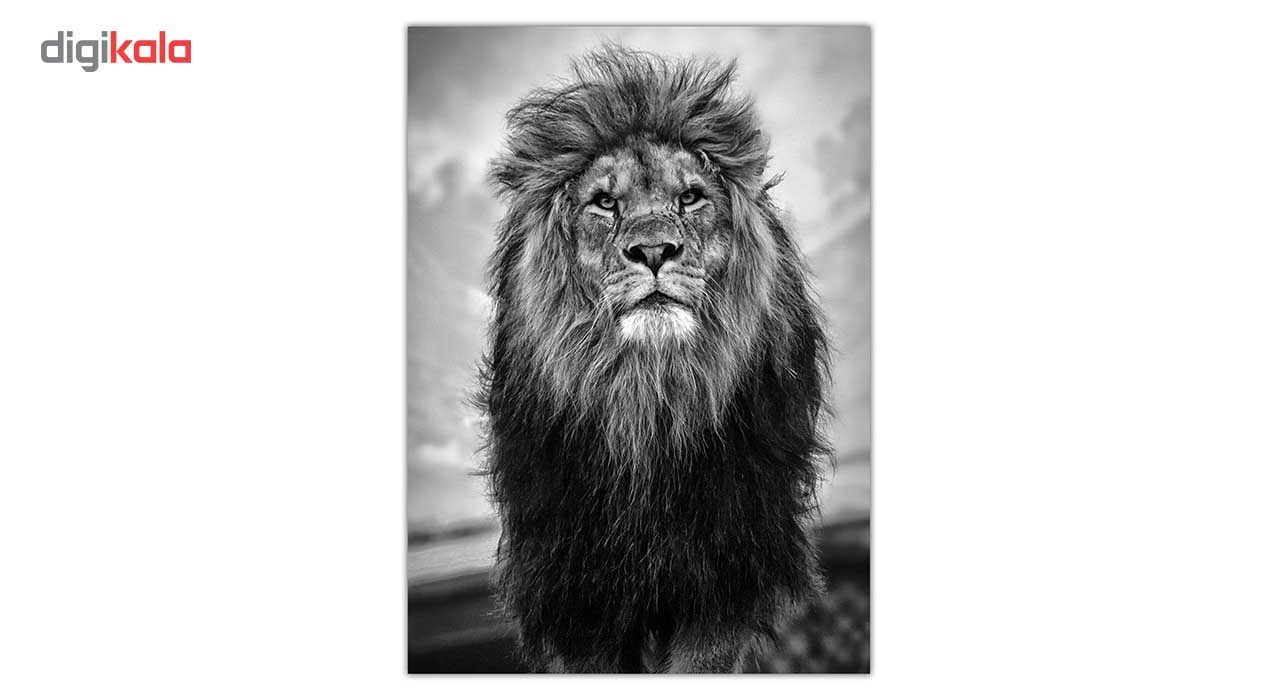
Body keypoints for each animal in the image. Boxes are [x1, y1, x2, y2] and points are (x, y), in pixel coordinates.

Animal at [477, 46, 831, 673]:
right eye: (605, 202)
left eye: (689, 197)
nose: (653, 250)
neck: (649, 400)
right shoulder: (575, 592)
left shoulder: (726, 579)